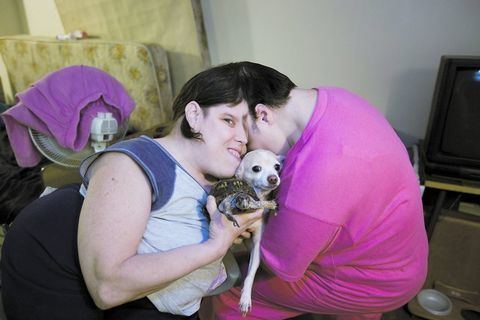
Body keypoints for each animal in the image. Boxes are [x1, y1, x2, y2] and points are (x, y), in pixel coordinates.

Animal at [232, 149, 282, 316]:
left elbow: (250, 274)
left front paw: (245, 298)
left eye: (277, 167)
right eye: (256, 168)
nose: (273, 178)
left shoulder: (256, 245)